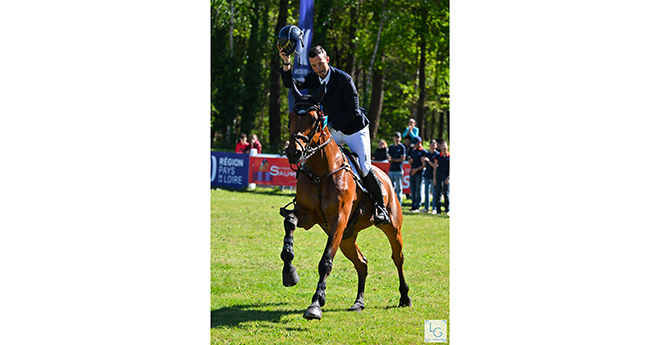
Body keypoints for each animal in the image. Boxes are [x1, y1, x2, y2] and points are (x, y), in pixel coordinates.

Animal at [280, 81, 412, 320]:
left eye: (313, 119)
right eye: (290, 117)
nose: (293, 153)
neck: (321, 171)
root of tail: (386, 177)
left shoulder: (338, 220)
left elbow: (325, 262)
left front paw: (315, 304)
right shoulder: (308, 215)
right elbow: (290, 222)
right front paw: (289, 273)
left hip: (391, 228)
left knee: (398, 258)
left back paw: (405, 297)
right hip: (347, 238)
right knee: (362, 263)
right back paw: (358, 302)